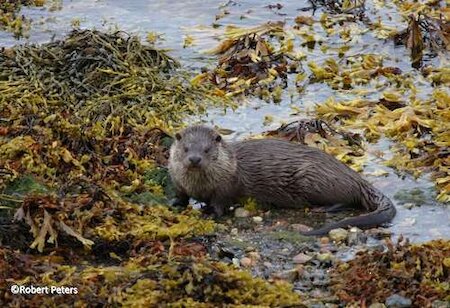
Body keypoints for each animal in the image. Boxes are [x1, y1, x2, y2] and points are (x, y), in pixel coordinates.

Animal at [169, 125, 398, 236]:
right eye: (186, 148)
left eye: (207, 149)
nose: (195, 159)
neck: (198, 186)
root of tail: (356, 177)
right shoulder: (178, 182)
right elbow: (181, 196)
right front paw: (174, 203)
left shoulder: (225, 186)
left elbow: (220, 204)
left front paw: (209, 213)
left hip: (314, 179)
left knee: (346, 199)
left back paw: (323, 209)